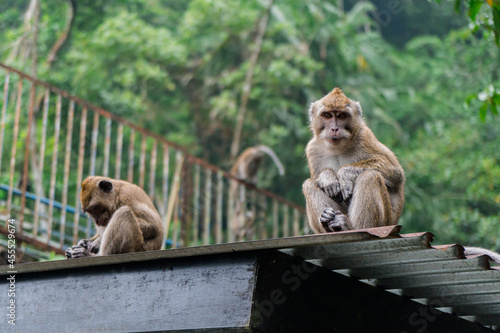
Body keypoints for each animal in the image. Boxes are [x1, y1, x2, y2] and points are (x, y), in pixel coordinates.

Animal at [300, 88, 406, 233]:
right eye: (327, 115)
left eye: (341, 116)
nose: (334, 129)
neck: (338, 148)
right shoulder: (313, 148)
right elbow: (316, 178)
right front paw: (327, 177)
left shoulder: (365, 137)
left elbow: (396, 172)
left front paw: (344, 173)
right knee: (309, 184)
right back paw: (328, 222)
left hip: (386, 220)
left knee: (369, 176)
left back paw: (351, 226)